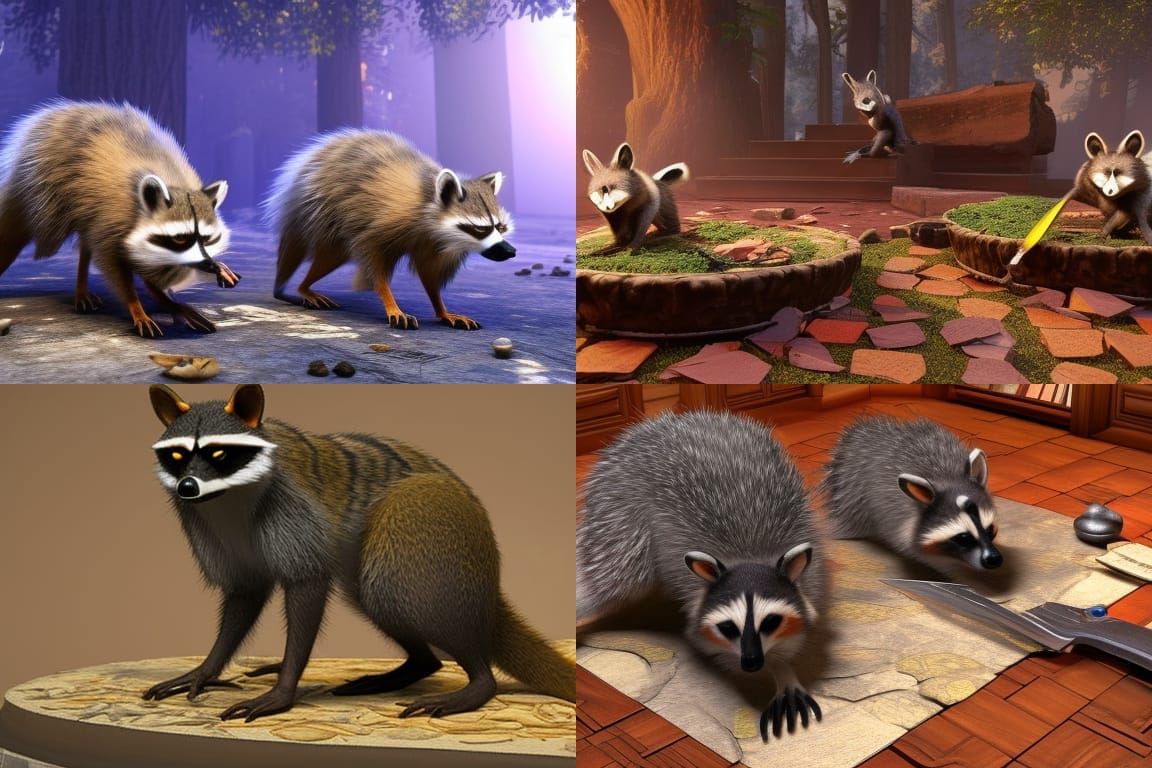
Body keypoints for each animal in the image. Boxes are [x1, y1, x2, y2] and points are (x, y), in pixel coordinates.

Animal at [0, 100, 234, 337]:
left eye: (206, 238)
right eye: (179, 238)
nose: (208, 264)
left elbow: (154, 273)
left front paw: (171, 301)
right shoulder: (112, 222)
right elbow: (115, 267)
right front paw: (136, 306)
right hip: (48, 191)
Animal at [265, 130, 515, 331]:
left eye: (500, 227)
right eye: (480, 228)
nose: (510, 251)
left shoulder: (434, 244)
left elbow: (429, 273)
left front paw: (440, 307)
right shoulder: (386, 221)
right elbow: (374, 262)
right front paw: (391, 303)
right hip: (321, 211)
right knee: (329, 255)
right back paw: (304, 287)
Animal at [577, 411, 825, 741]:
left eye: (771, 621)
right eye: (728, 627)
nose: (752, 663)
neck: (747, 557)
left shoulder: (809, 570)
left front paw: (782, 668)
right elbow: (705, 642)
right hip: (619, 511)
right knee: (615, 574)